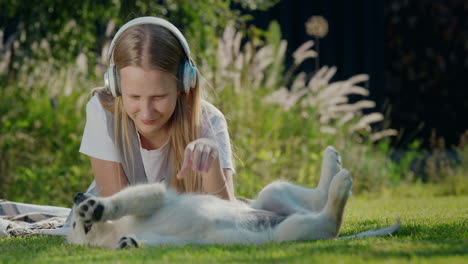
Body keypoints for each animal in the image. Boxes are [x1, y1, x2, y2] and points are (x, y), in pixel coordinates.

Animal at [67, 145, 400, 249]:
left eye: (72, 222)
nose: (76, 195)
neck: (113, 232)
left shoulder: (154, 194)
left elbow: (125, 199)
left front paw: (97, 206)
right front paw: (131, 244)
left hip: (273, 194)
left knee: (320, 201)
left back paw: (334, 166)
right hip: (291, 230)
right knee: (328, 218)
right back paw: (340, 183)